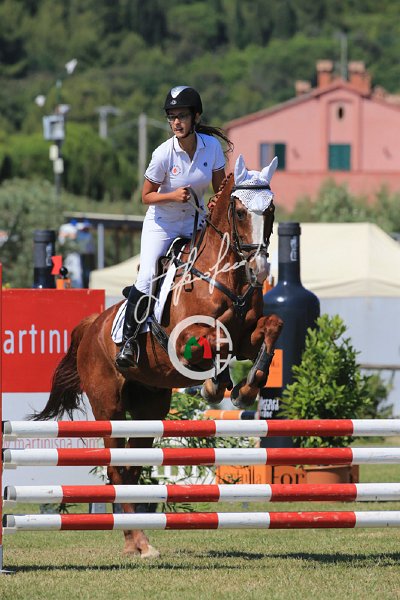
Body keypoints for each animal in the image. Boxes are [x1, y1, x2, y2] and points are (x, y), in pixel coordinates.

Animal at [33, 154, 283, 558]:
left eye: (271, 210)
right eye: (240, 211)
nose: (259, 269)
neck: (223, 276)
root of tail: (92, 326)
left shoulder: (250, 336)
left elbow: (270, 327)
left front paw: (246, 388)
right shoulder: (185, 342)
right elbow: (217, 338)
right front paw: (217, 387)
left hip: (149, 409)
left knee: (132, 469)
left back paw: (139, 541)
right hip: (109, 408)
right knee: (117, 470)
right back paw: (137, 541)